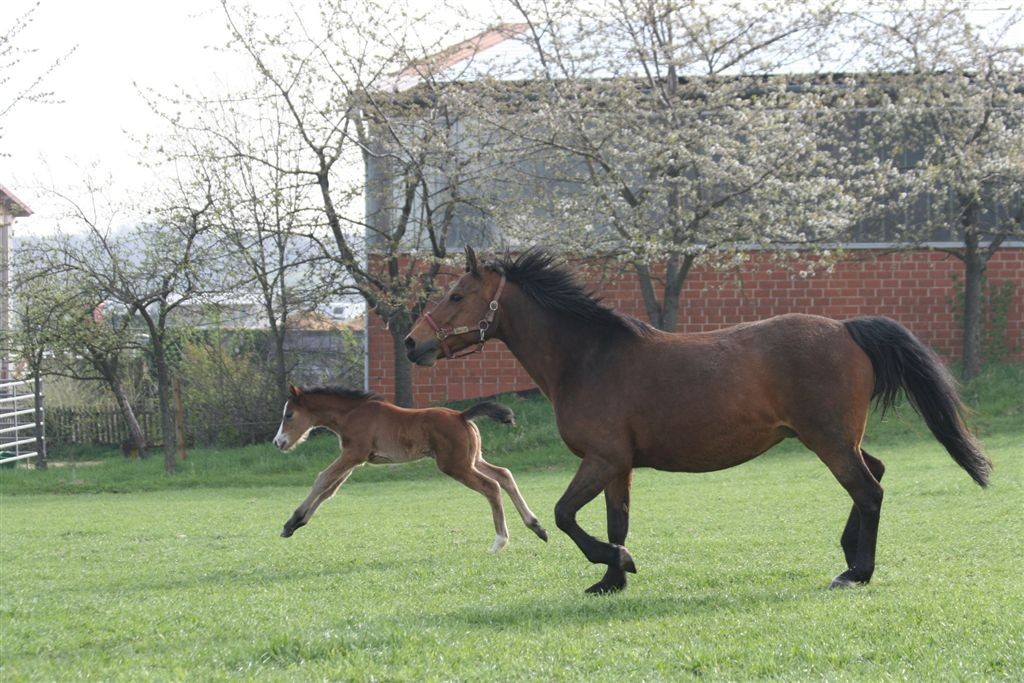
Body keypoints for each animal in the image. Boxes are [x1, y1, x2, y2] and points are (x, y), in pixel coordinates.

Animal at [270, 387, 544, 552]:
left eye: (289, 415)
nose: (278, 442)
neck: (352, 413)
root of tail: (462, 416)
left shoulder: (352, 454)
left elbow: (322, 479)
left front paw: (291, 522)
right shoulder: (356, 459)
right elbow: (328, 490)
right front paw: (295, 524)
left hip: (456, 466)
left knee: (491, 486)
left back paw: (499, 542)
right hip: (473, 460)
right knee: (505, 475)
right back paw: (537, 526)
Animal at [403, 248, 987, 593]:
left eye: (456, 295)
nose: (412, 343)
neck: (588, 358)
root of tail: (846, 328)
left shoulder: (602, 458)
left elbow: (566, 516)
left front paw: (619, 563)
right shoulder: (618, 466)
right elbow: (616, 521)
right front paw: (612, 578)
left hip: (828, 440)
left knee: (869, 491)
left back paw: (857, 572)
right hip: (833, 438)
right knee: (877, 474)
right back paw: (848, 556)